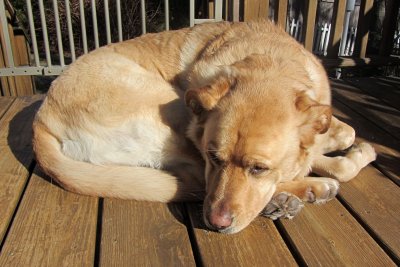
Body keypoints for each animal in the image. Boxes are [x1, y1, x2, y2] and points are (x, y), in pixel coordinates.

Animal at [32, 21, 376, 234]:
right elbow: (331, 160)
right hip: (171, 105)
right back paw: (310, 189)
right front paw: (348, 158)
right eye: (214, 157)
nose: (215, 223)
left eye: (259, 168)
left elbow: (342, 131)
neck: (270, 60)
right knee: (196, 180)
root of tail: (42, 120)